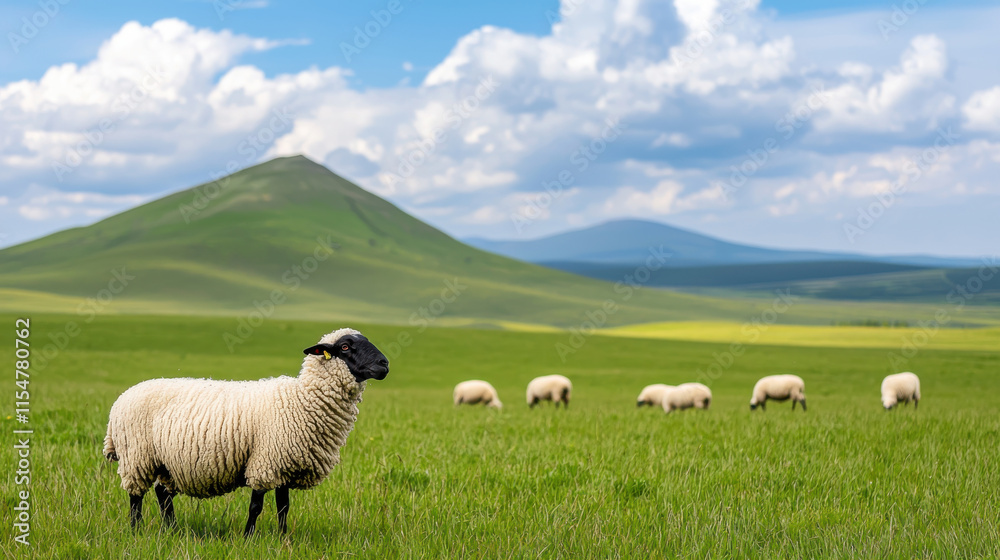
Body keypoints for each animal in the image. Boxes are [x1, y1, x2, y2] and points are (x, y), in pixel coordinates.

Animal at [102, 328, 389, 536]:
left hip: (165, 461)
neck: (301, 399)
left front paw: (283, 538)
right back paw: (136, 531)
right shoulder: (265, 462)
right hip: (137, 456)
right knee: (136, 496)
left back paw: (172, 530)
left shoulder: (284, 464)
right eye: (345, 346)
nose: (384, 364)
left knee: (162, 494)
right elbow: (256, 506)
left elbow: (283, 506)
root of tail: (120, 399)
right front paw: (247, 537)